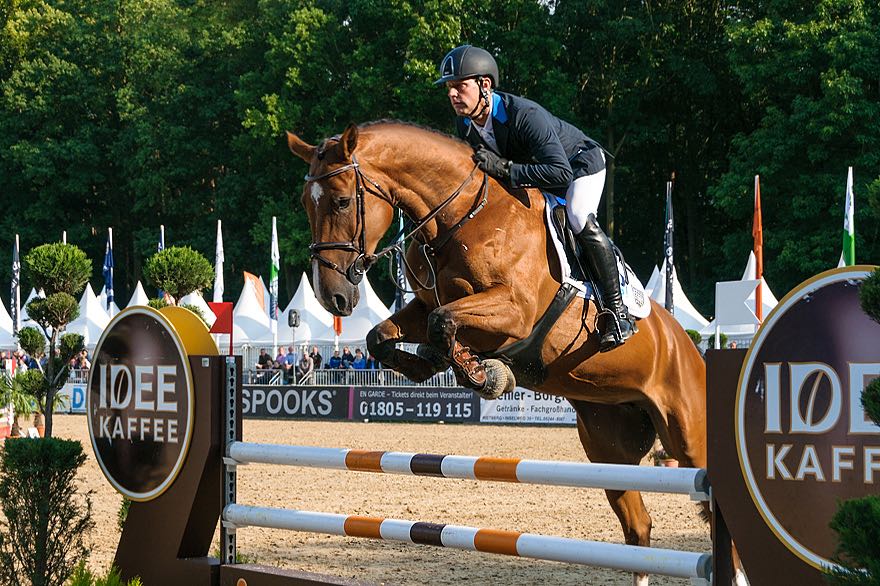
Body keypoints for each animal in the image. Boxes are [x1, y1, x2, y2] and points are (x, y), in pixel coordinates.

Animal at [288, 121, 708, 580]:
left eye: (343, 201)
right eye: (305, 205)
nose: (332, 297)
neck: (459, 218)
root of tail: (686, 344)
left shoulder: (513, 311)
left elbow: (443, 324)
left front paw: (486, 374)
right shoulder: (426, 303)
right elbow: (384, 335)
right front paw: (431, 365)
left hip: (688, 433)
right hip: (608, 444)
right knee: (638, 526)